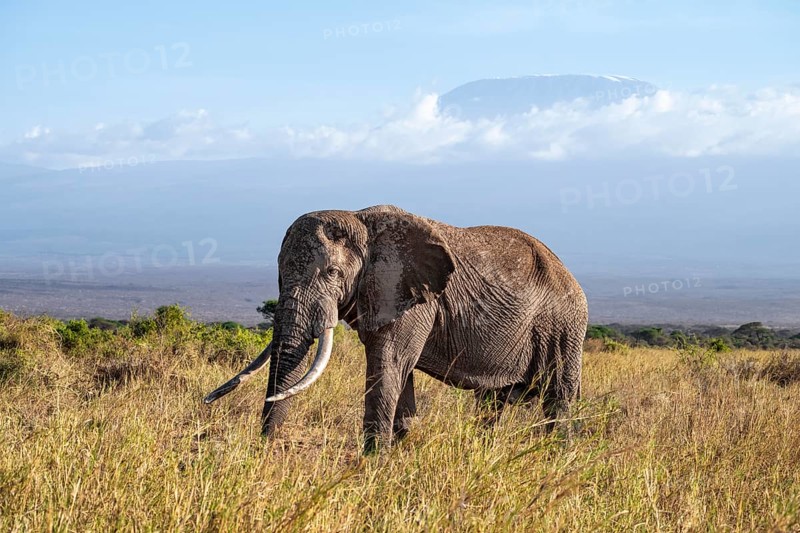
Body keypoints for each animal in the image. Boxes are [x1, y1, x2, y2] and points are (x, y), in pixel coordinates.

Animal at [204, 205, 588, 453]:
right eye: (280, 275)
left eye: (332, 273)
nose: (264, 451)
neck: (361, 221)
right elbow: (400, 372)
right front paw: (399, 454)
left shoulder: (412, 295)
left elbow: (389, 364)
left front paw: (373, 463)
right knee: (492, 402)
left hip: (564, 327)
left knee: (558, 397)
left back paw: (558, 457)